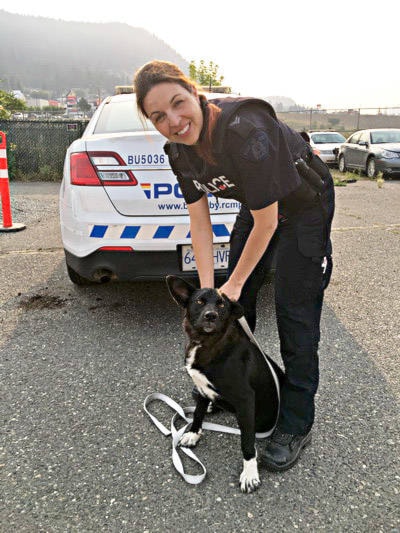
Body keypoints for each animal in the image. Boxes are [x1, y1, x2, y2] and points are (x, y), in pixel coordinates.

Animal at [166, 276, 284, 492]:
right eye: (200, 301)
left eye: (221, 304)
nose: (211, 316)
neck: (207, 343)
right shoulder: (202, 387)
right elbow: (197, 413)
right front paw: (193, 433)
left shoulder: (245, 399)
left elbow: (247, 441)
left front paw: (249, 473)